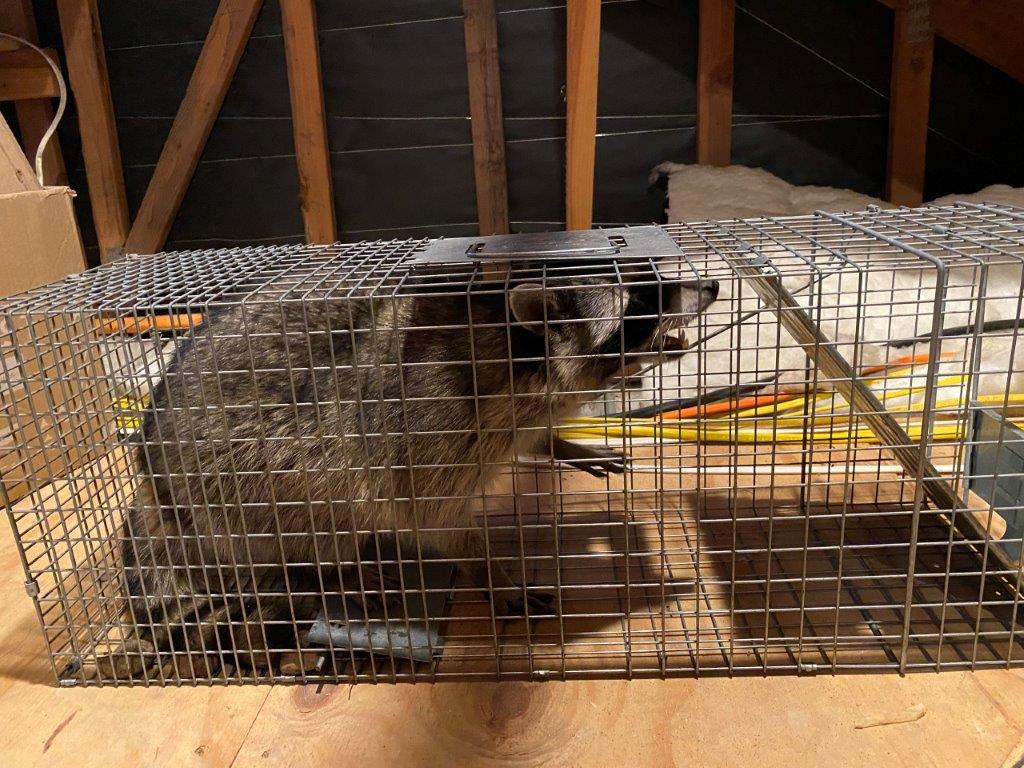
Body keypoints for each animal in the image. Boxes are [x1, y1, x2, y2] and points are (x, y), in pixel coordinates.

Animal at [106, 260, 717, 677]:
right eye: (641, 300)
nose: (710, 286)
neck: (509, 343)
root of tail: (151, 481)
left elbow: (535, 437)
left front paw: (564, 443)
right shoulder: (431, 426)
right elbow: (433, 518)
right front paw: (489, 569)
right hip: (233, 486)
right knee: (315, 509)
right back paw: (336, 571)